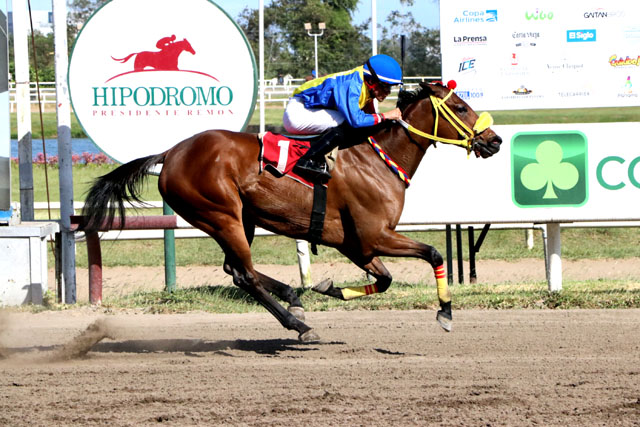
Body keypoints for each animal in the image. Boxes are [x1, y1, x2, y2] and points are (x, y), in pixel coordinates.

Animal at [81, 83, 500, 344]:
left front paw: (327, 287)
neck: (378, 160)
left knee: (234, 269)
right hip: (221, 214)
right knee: (245, 275)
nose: (494, 140)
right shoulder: (375, 235)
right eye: (460, 107)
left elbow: (384, 280)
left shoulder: (356, 244)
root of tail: (171, 153)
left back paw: (293, 295)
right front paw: (445, 313)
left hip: (240, 219)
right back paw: (298, 324)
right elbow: (434, 253)